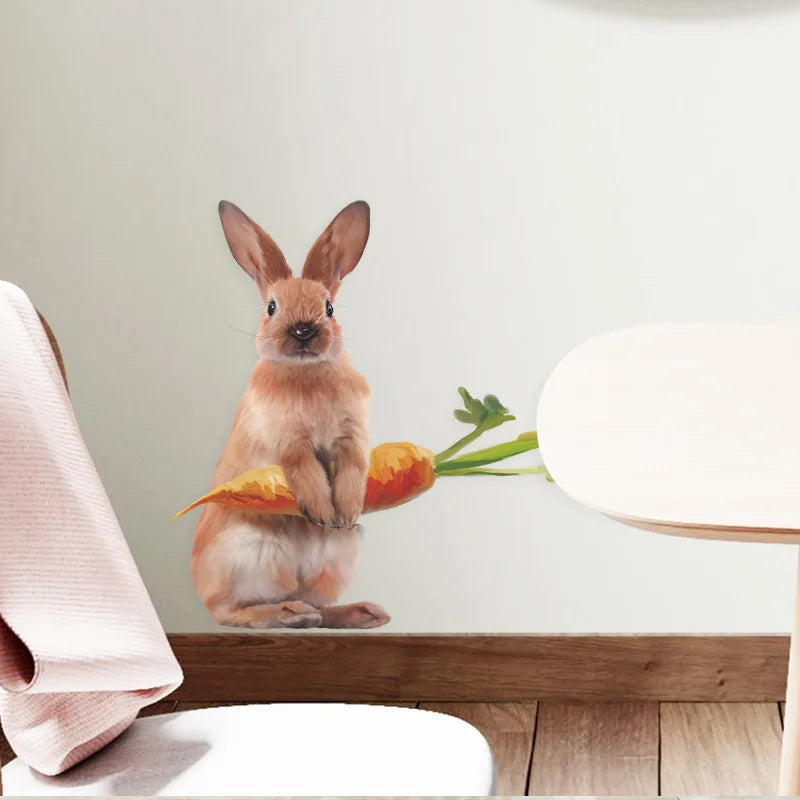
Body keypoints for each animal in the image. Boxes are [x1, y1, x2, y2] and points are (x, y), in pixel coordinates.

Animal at [191, 200, 390, 630]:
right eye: (271, 307)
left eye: (329, 308)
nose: (302, 330)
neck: (306, 373)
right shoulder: (287, 440)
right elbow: (305, 470)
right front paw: (322, 511)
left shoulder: (351, 436)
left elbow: (353, 467)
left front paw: (344, 511)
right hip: (248, 556)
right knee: (231, 612)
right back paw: (286, 613)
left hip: (337, 559)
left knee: (319, 607)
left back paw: (361, 613)